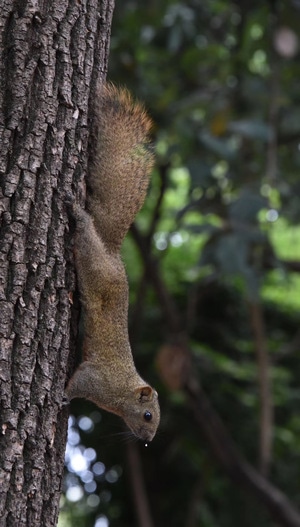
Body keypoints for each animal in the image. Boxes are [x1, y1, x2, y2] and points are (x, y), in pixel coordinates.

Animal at [65, 83, 159, 442]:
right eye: (148, 415)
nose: (147, 441)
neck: (120, 393)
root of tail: (111, 249)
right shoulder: (94, 380)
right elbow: (75, 384)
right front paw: (61, 396)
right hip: (93, 262)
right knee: (86, 234)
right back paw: (77, 213)